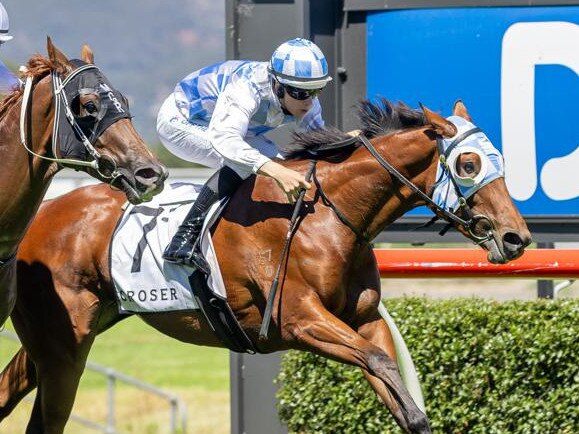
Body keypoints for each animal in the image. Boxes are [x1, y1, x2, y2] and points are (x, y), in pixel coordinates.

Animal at [0, 100, 532, 432]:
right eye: (467, 165)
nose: (516, 238)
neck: (328, 217)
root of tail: (39, 217)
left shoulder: (364, 320)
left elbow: (401, 396)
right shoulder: (300, 321)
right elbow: (380, 363)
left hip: (64, 337)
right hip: (65, 344)